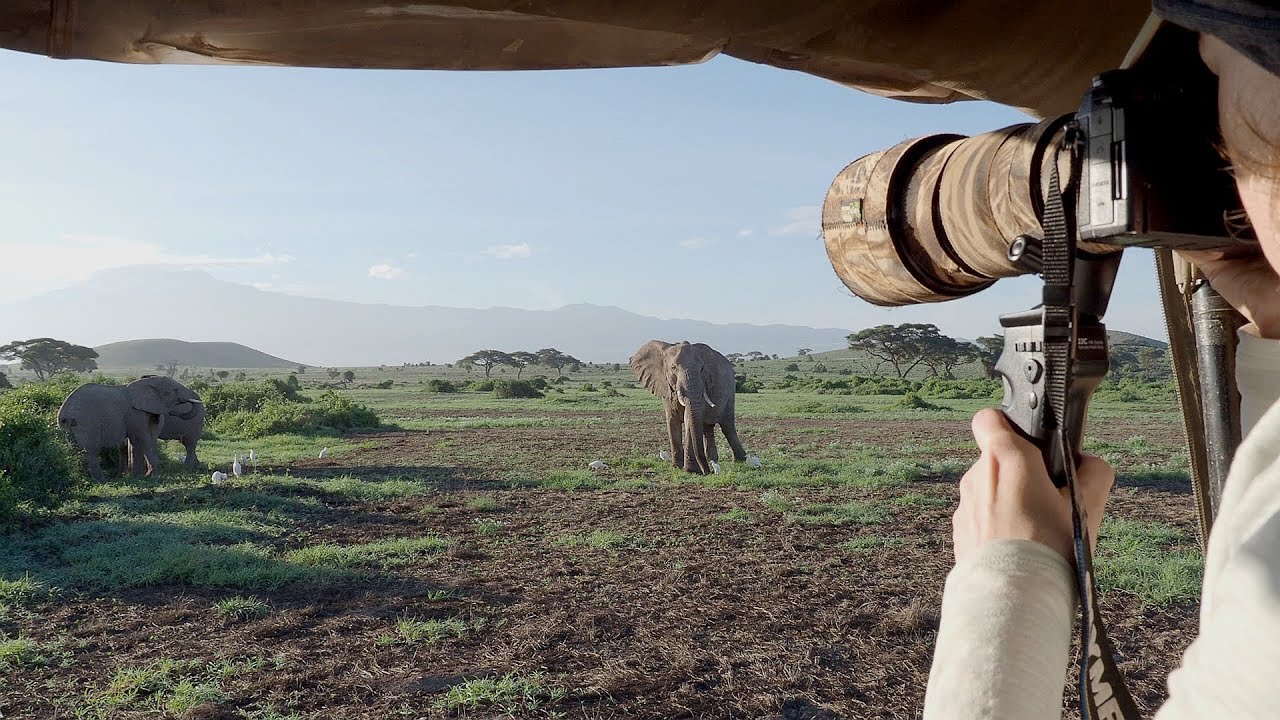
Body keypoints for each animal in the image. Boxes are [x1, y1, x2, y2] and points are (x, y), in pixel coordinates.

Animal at [56, 376, 203, 482]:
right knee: (91, 450)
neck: (146, 382)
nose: (173, 412)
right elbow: (141, 438)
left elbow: (140, 440)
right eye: (176, 390)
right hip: (86, 424)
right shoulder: (135, 412)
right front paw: (151, 476)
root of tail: (63, 414)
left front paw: (139, 476)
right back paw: (102, 480)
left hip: (70, 428)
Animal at [631, 340, 747, 474]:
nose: (707, 472)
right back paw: (713, 461)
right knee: (708, 428)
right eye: (673, 368)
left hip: (730, 390)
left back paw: (739, 461)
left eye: (702, 369)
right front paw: (676, 468)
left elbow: (688, 419)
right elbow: (672, 421)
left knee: (727, 426)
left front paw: (691, 471)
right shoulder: (666, 387)